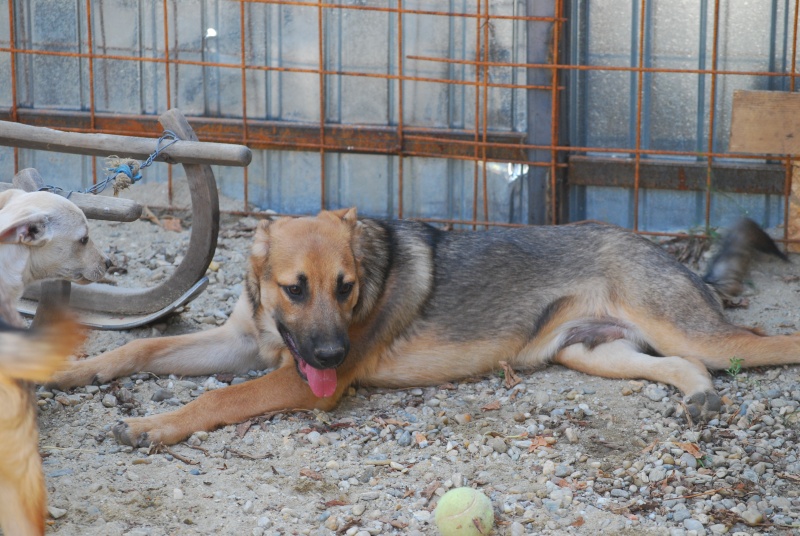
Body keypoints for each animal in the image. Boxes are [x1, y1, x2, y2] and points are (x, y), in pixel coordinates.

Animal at [50, 209, 792, 448]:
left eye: (347, 288)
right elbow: (146, 344)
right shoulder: (241, 341)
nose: (333, 353)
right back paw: (699, 399)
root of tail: (655, 247)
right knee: (689, 369)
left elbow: (217, 399)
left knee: (760, 345)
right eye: (296, 288)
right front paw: (76, 369)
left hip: (685, 331)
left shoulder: (300, 383)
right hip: (590, 354)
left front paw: (152, 425)